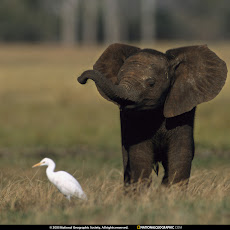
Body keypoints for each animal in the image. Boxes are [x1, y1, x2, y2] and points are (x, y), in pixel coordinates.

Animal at [77, 43, 226, 189]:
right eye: (118, 80)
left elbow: (180, 154)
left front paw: (172, 195)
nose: (81, 79)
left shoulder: (182, 111)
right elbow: (140, 154)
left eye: (151, 83)